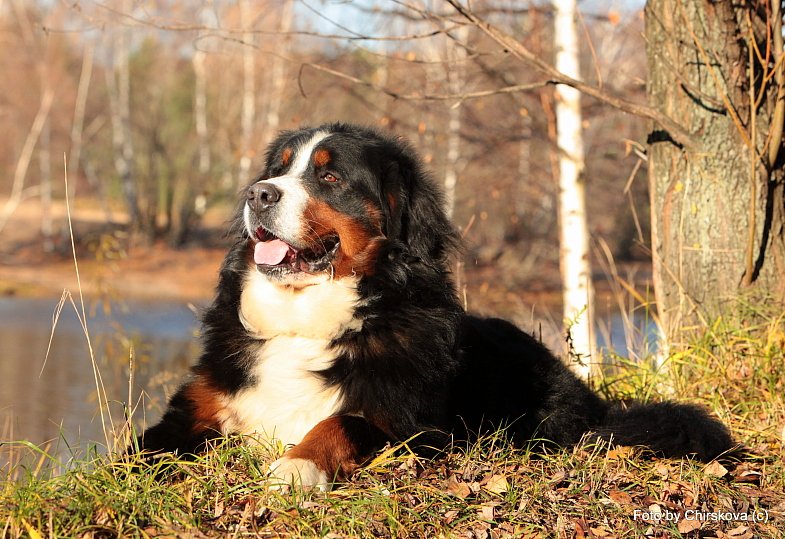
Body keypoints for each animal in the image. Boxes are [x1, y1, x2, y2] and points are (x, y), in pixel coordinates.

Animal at [136, 121, 736, 490]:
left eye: (329, 175)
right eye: (278, 170)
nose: (258, 193)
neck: (302, 322)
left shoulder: (416, 425)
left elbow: (342, 422)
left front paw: (296, 465)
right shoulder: (200, 403)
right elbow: (150, 444)